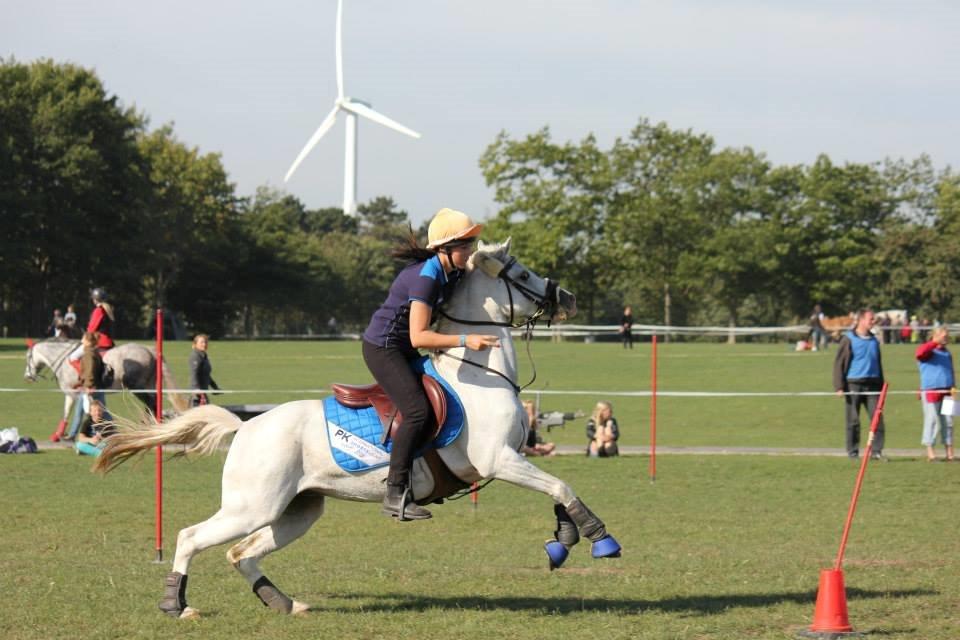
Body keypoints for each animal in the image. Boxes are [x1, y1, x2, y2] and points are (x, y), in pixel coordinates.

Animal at [24, 338, 186, 438]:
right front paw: (59, 435)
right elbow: (68, 412)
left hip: (137, 387)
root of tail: (149, 350)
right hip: (148, 385)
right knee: (153, 403)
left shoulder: (75, 393)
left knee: (151, 403)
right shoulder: (77, 394)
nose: (27, 376)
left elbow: (80, 411)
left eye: (27, 357)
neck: (64, 361)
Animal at [94, 238, 623, 619]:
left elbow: (557, 491)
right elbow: (561, 485)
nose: (569, 297)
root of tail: (246, 428)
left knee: (243, 553)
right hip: (252, 506)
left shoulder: (510, 461)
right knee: (191, 537)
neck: (480, 376)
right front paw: (598, 538)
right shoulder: (500, 460)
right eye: (522, 273)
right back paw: (176, 605)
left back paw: (285, 603)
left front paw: (562, 541)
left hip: (297, 510)